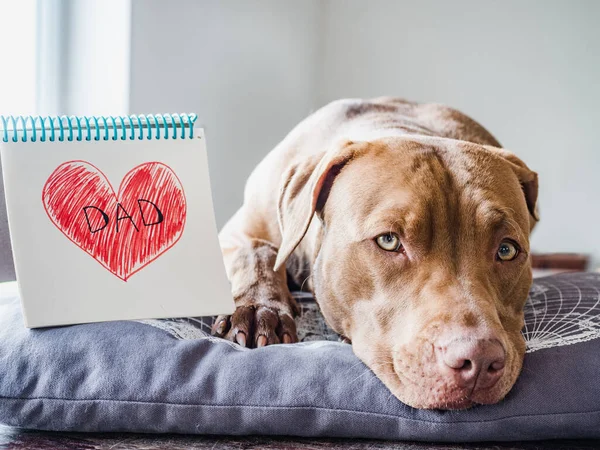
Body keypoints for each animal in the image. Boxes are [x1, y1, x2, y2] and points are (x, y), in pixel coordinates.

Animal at [212, 98, 540, 412]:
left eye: (507, 250)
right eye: (389, 240)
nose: (480, 360)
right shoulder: (236, 232)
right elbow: (257, 251)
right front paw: (259, 309)